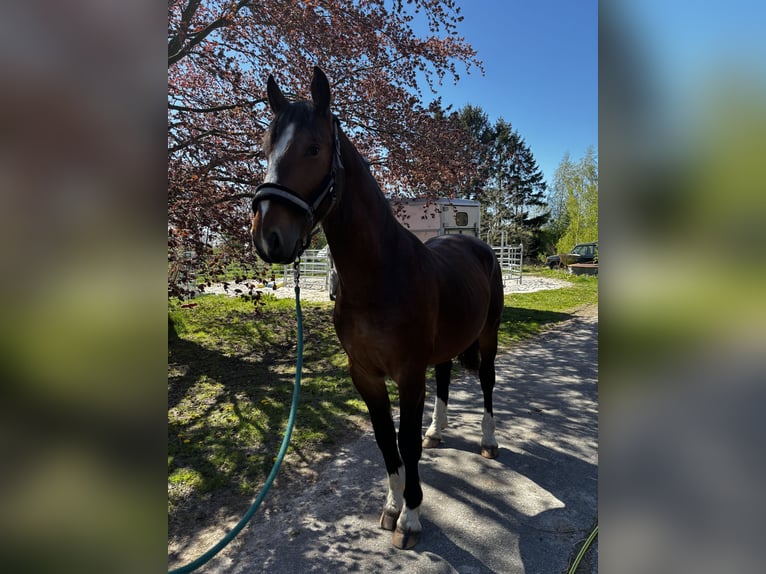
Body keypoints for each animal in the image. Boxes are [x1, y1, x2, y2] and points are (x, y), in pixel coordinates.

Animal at [250, 67, 504, 549]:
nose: (267, 236)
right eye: (266, 147)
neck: (379, 277)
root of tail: (477, 245)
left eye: (314, 148)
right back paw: (439, 431)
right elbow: (386, 442)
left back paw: (487, 441)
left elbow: (405, 442)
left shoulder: (408, 373)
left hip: (488, 336)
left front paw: (412, 517)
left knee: (486, 382)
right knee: (445, 377)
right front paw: (391, 506)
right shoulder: (364, 374)